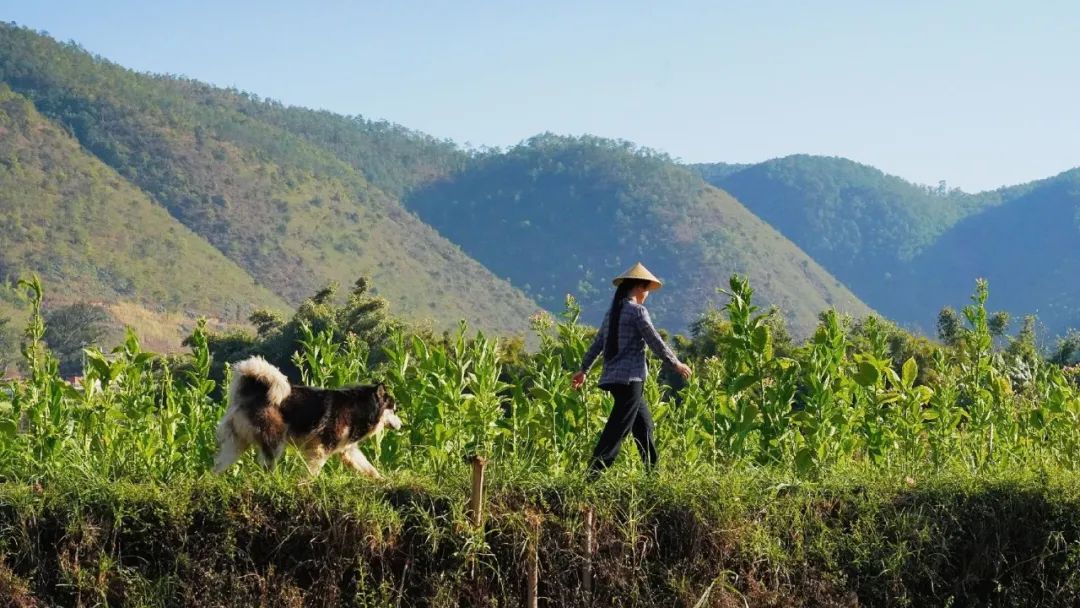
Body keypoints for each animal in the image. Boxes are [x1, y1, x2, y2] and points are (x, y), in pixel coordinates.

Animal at [210, 356, 401, 481]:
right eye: (394, 410)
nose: (402, 424)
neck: (360, 408)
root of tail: (249, 394)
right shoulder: (321, 449)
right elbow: (312, 471)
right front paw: (306, 484)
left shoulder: (349, 450)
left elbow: (369, 468)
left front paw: (382, 480)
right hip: (275, 440)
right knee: (268, 466)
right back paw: (276, 482)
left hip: (236, 443)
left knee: (218, 464)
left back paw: (214, 480)